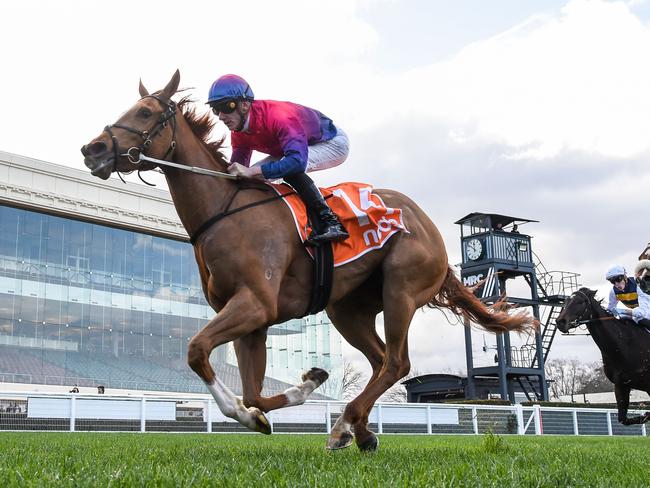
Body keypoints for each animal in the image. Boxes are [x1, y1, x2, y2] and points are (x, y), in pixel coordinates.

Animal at [79, 69, 532, 450]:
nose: (92, 148)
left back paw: (345, 424)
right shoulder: (252, 319)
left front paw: (253, 411)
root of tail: (430, 226)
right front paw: (289, 395)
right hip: (348, 309)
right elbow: (252, 391)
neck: (223, 211)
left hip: (401, 290)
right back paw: (359, 431)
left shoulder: (255, 304)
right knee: (381, 360)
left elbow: (197, 351)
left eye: (145, 112)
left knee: (397, 363)